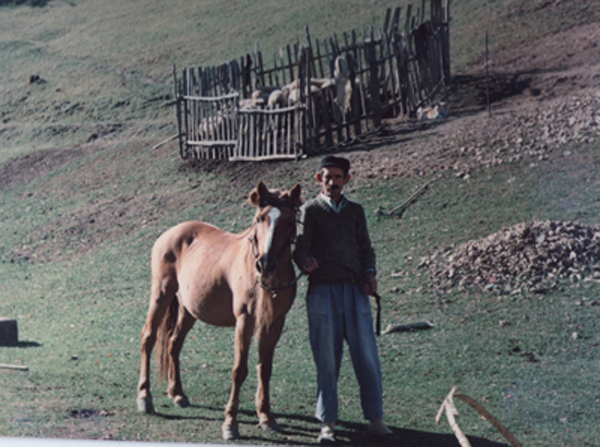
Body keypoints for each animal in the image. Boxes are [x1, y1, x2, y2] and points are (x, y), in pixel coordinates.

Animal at [138, 181, 302, 440]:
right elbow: (239, 370)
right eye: (260, 218)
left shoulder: (275, 322)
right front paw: (230, 423)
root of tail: (169, 233)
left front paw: (266, 417)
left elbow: (265, 368)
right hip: (161, 294)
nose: (265, 264)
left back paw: (178, 393)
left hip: (187, 309)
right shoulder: (245, 320)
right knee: (148, 337)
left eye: (288, 220)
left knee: (174, 343)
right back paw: (145, 397)